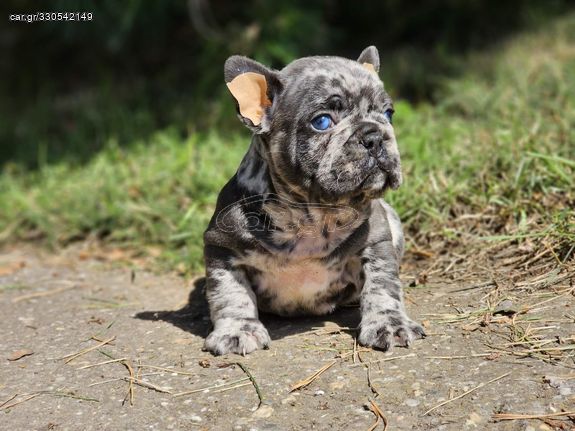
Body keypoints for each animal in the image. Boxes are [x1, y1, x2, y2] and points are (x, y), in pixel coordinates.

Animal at [201, 46, 424, 358]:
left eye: (388, 114)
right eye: (322, 121)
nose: (375, 135)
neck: (311, 214)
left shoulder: (376, 242)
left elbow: (383, 286)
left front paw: (389, 324)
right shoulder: (222, 249)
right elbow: (230, 294)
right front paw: (237, 330)